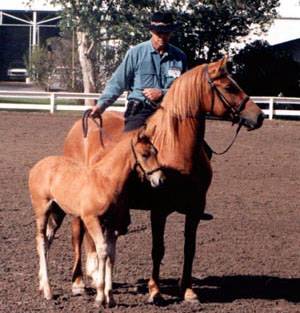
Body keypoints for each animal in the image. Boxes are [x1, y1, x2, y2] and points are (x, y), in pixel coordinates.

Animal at [28, 130, 164, 304]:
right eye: (145, 155)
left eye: (156, 152)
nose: (160, 179)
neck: (106, 181)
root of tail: (37, 166)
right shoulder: (91, 219)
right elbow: (102, 250)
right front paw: (100, 296)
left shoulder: (111, 223)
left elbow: (111, 254)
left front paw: (110, 297)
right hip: (42, 210)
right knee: (41, 241)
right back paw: (47, 290)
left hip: (57, 213)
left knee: (47, 241)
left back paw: (41, 284)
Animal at [63, 56, 264, 302]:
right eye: (228, 87)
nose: (259, 116)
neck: (176, 148)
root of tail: (81, 127)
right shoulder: (159, 210)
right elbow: (158, 249)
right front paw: (155, 291)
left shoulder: (195, 209)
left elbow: (190, 248)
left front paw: (187, 290)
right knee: (77, 236)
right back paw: (78, 282)